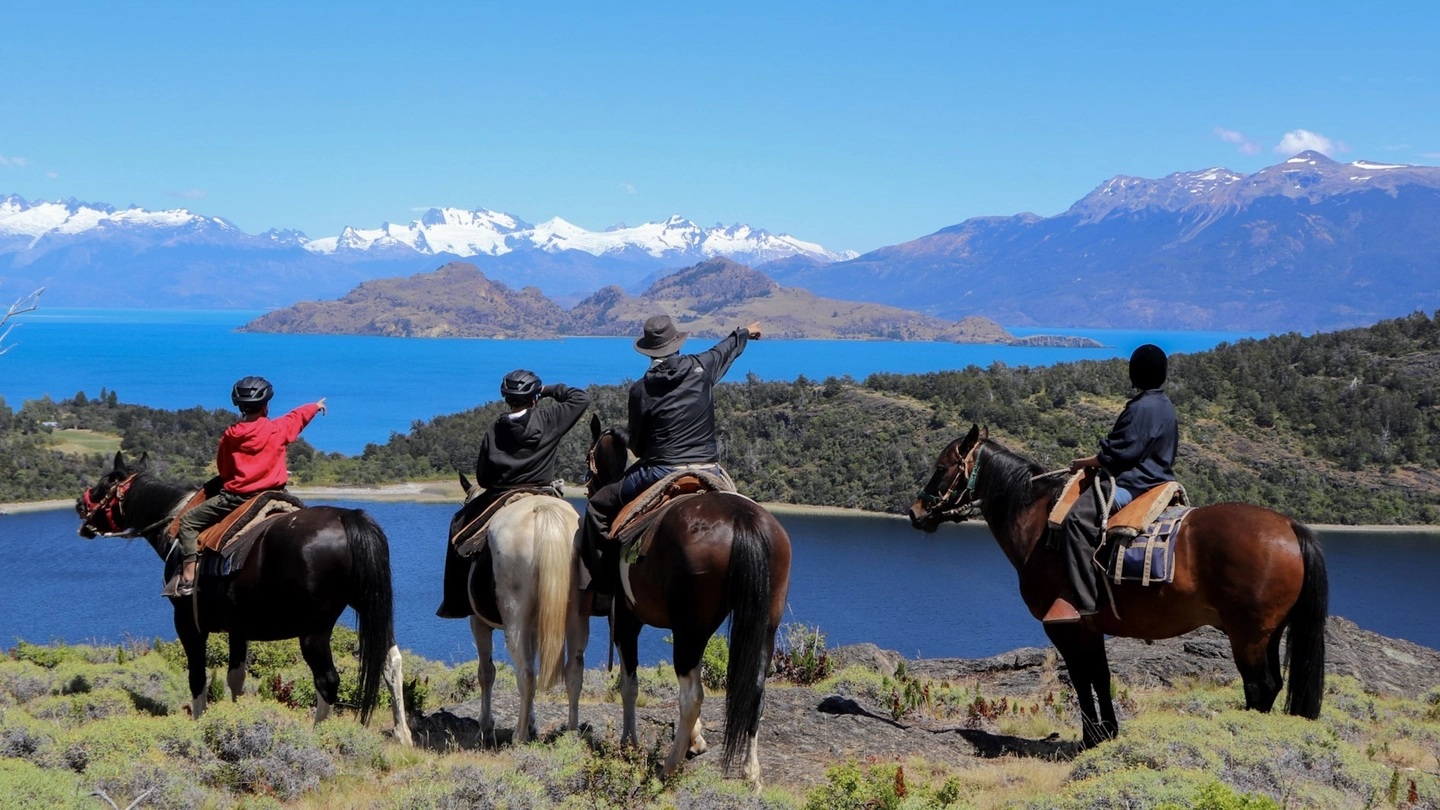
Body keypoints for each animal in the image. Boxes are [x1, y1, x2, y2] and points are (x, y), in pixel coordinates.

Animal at [76, 451, 411, 742]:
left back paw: (319, 736)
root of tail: (348, 518)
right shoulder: (238, 628)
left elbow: (197, 677)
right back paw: (402, 735)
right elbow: (235, 678)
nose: (80, 504)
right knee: (390, 661)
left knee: (327, 680)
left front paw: (200, 722)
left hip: (313, 632)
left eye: (107, 482)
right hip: (371, 609)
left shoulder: (187, 624)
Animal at [451, 473, 589, 744]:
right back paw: (571, 733)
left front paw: (486, 729)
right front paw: (534, 724)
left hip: (514, 619)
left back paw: (520, 735)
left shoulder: (478, 622)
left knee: (525, 673)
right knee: (573, 669)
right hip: (576, 616)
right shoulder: (534, 627)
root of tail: (544, 511)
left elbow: (486, 672)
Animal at [586, 415, 792, 790]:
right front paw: (696, 741)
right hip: (760, 624)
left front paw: (629, 743)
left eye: (589, 460)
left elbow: (629, 684)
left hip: (688, 628)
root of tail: (743, 519)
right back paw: (751, 774)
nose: (590, 489)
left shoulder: (626, 620)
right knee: (754, 692)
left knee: (691, 695)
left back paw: (669, 767)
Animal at [906, 425, 1328, 747]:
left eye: (942, 467)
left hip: (1248, 636)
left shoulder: (1064, 625)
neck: (1040, 523)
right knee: (1272, 685)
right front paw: (1108, 733)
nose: (915, 512)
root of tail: (1290, 526)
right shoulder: (1091, 626)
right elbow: (1101, 675)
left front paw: (1091, 737)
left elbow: (1080, 678)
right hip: (1269, 634)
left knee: (1260, 686)